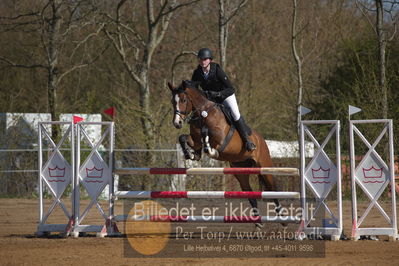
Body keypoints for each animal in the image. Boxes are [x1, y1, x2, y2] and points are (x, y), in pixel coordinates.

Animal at [169, 80, 284, 228]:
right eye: (173, 101)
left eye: (183, 100)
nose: (177, 123)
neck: (202, 114)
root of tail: (261, 139)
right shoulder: (195, 140)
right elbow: (183, 138)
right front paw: (191, 154)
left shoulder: (220, 139)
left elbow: (207, 136)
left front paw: (210, 151)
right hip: (240, 171)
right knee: (250, 192)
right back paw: (258, 222)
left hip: (264, 165)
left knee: (272, 187)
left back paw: (282, 218)